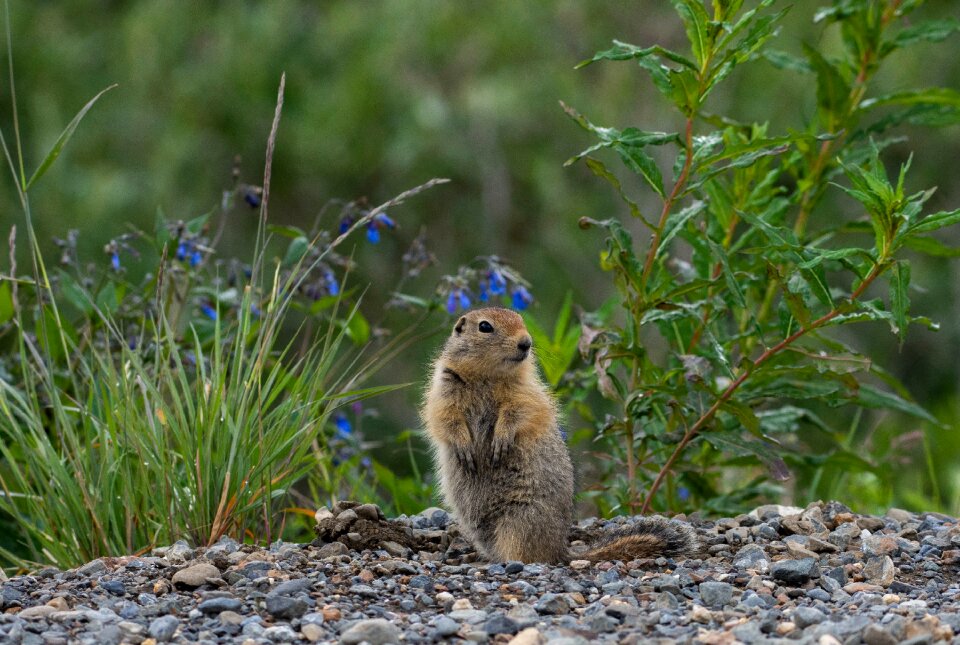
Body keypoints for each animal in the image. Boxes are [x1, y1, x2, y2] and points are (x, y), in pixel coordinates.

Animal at [422, 306, 696, 564]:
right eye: (485, 326)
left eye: (521, 320)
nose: (526, 342)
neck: (487, 375)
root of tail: (560, 549)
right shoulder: (443, 388)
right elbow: (445, 419)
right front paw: (464, 447)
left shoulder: (526, 392)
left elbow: (519, 413)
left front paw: (501, 441)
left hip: (520, 520)